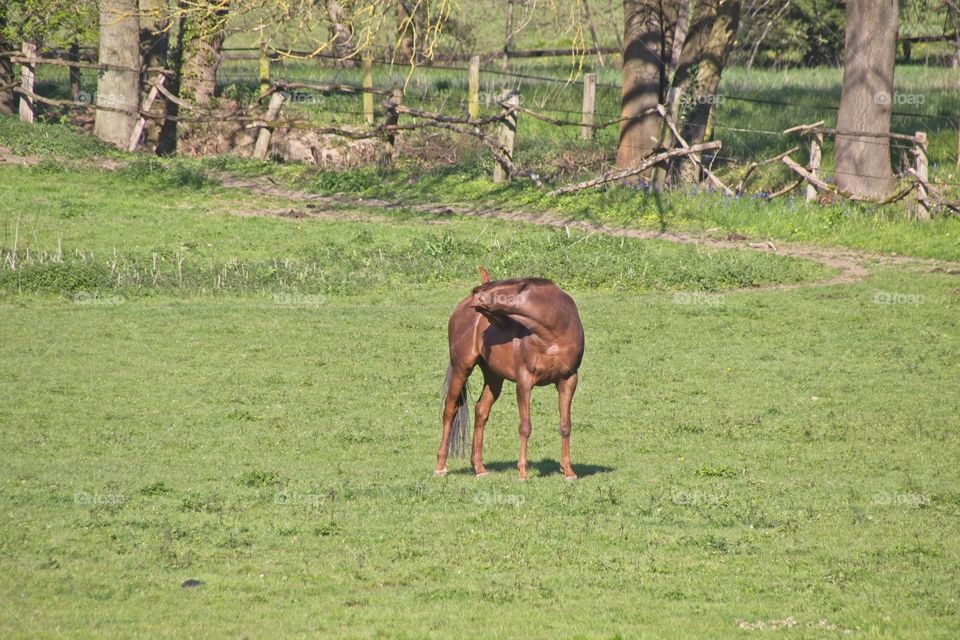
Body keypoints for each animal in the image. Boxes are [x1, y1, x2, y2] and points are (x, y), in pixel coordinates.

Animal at [435, 267, 585, 480]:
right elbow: (525, 426)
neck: (553, 330)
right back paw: (440, 467)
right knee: (450, 410)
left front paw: (568, 471)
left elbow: (565, 425)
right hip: (461, 368)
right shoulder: (524, 381)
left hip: (494, 377)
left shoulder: (568, 380)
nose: (471, 306)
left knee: (481, 411)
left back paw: (479, 468)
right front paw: (522, 471)